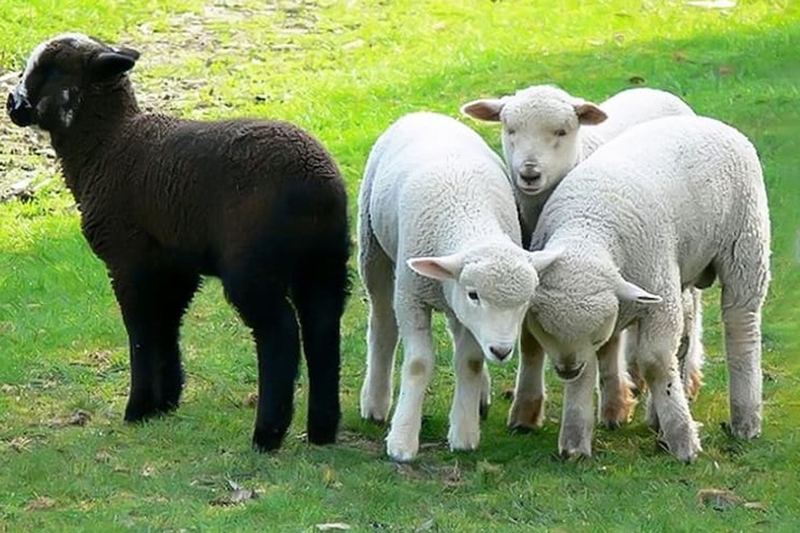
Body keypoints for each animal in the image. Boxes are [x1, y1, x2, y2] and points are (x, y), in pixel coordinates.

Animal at [6, 33, 351, 452]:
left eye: (50, 69)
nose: (11, 104)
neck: (107, 146)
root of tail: (318, 187)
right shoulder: (175, 266)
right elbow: (167, 325)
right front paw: (166, 401)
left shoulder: (128, 258)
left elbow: (139, 329)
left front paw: (138, 409)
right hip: (325, 264)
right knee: (323, 327)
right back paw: (322, 430)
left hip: (255, 267)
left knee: (280, 335)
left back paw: (266, 435)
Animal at [357, 111, 561, 462]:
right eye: (474, 294)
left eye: (525, 301)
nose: (502, 351)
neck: (467, 215)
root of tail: (425, 113)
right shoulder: (411, 297)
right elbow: (418, 364)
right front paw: (402, 441)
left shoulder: (463, 307)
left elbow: (470, 361)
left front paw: (464, 434)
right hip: (373, 246)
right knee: (382, 321)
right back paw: (375, 402)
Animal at [460, 85, 703, 429]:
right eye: (510, 129)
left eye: (562, 131)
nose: (529, 173)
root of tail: (656, 90)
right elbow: (532, 341)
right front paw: (525, 411)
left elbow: (606, 341)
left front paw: (615, 406)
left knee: (692, 307)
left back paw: (687, 375)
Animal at [521, 114, 770, 462]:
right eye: (544, 329)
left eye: (596, 333)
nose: (567, 369)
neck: (589, 225)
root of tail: (711, 122)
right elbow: (588, 373)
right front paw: (574, 443)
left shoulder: (657, 299)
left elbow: (654, 362)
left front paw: (683, 441)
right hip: (679, 268)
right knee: (686, 330)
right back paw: (658, 417)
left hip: (744, 241)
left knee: (741, 323)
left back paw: (745, 420)